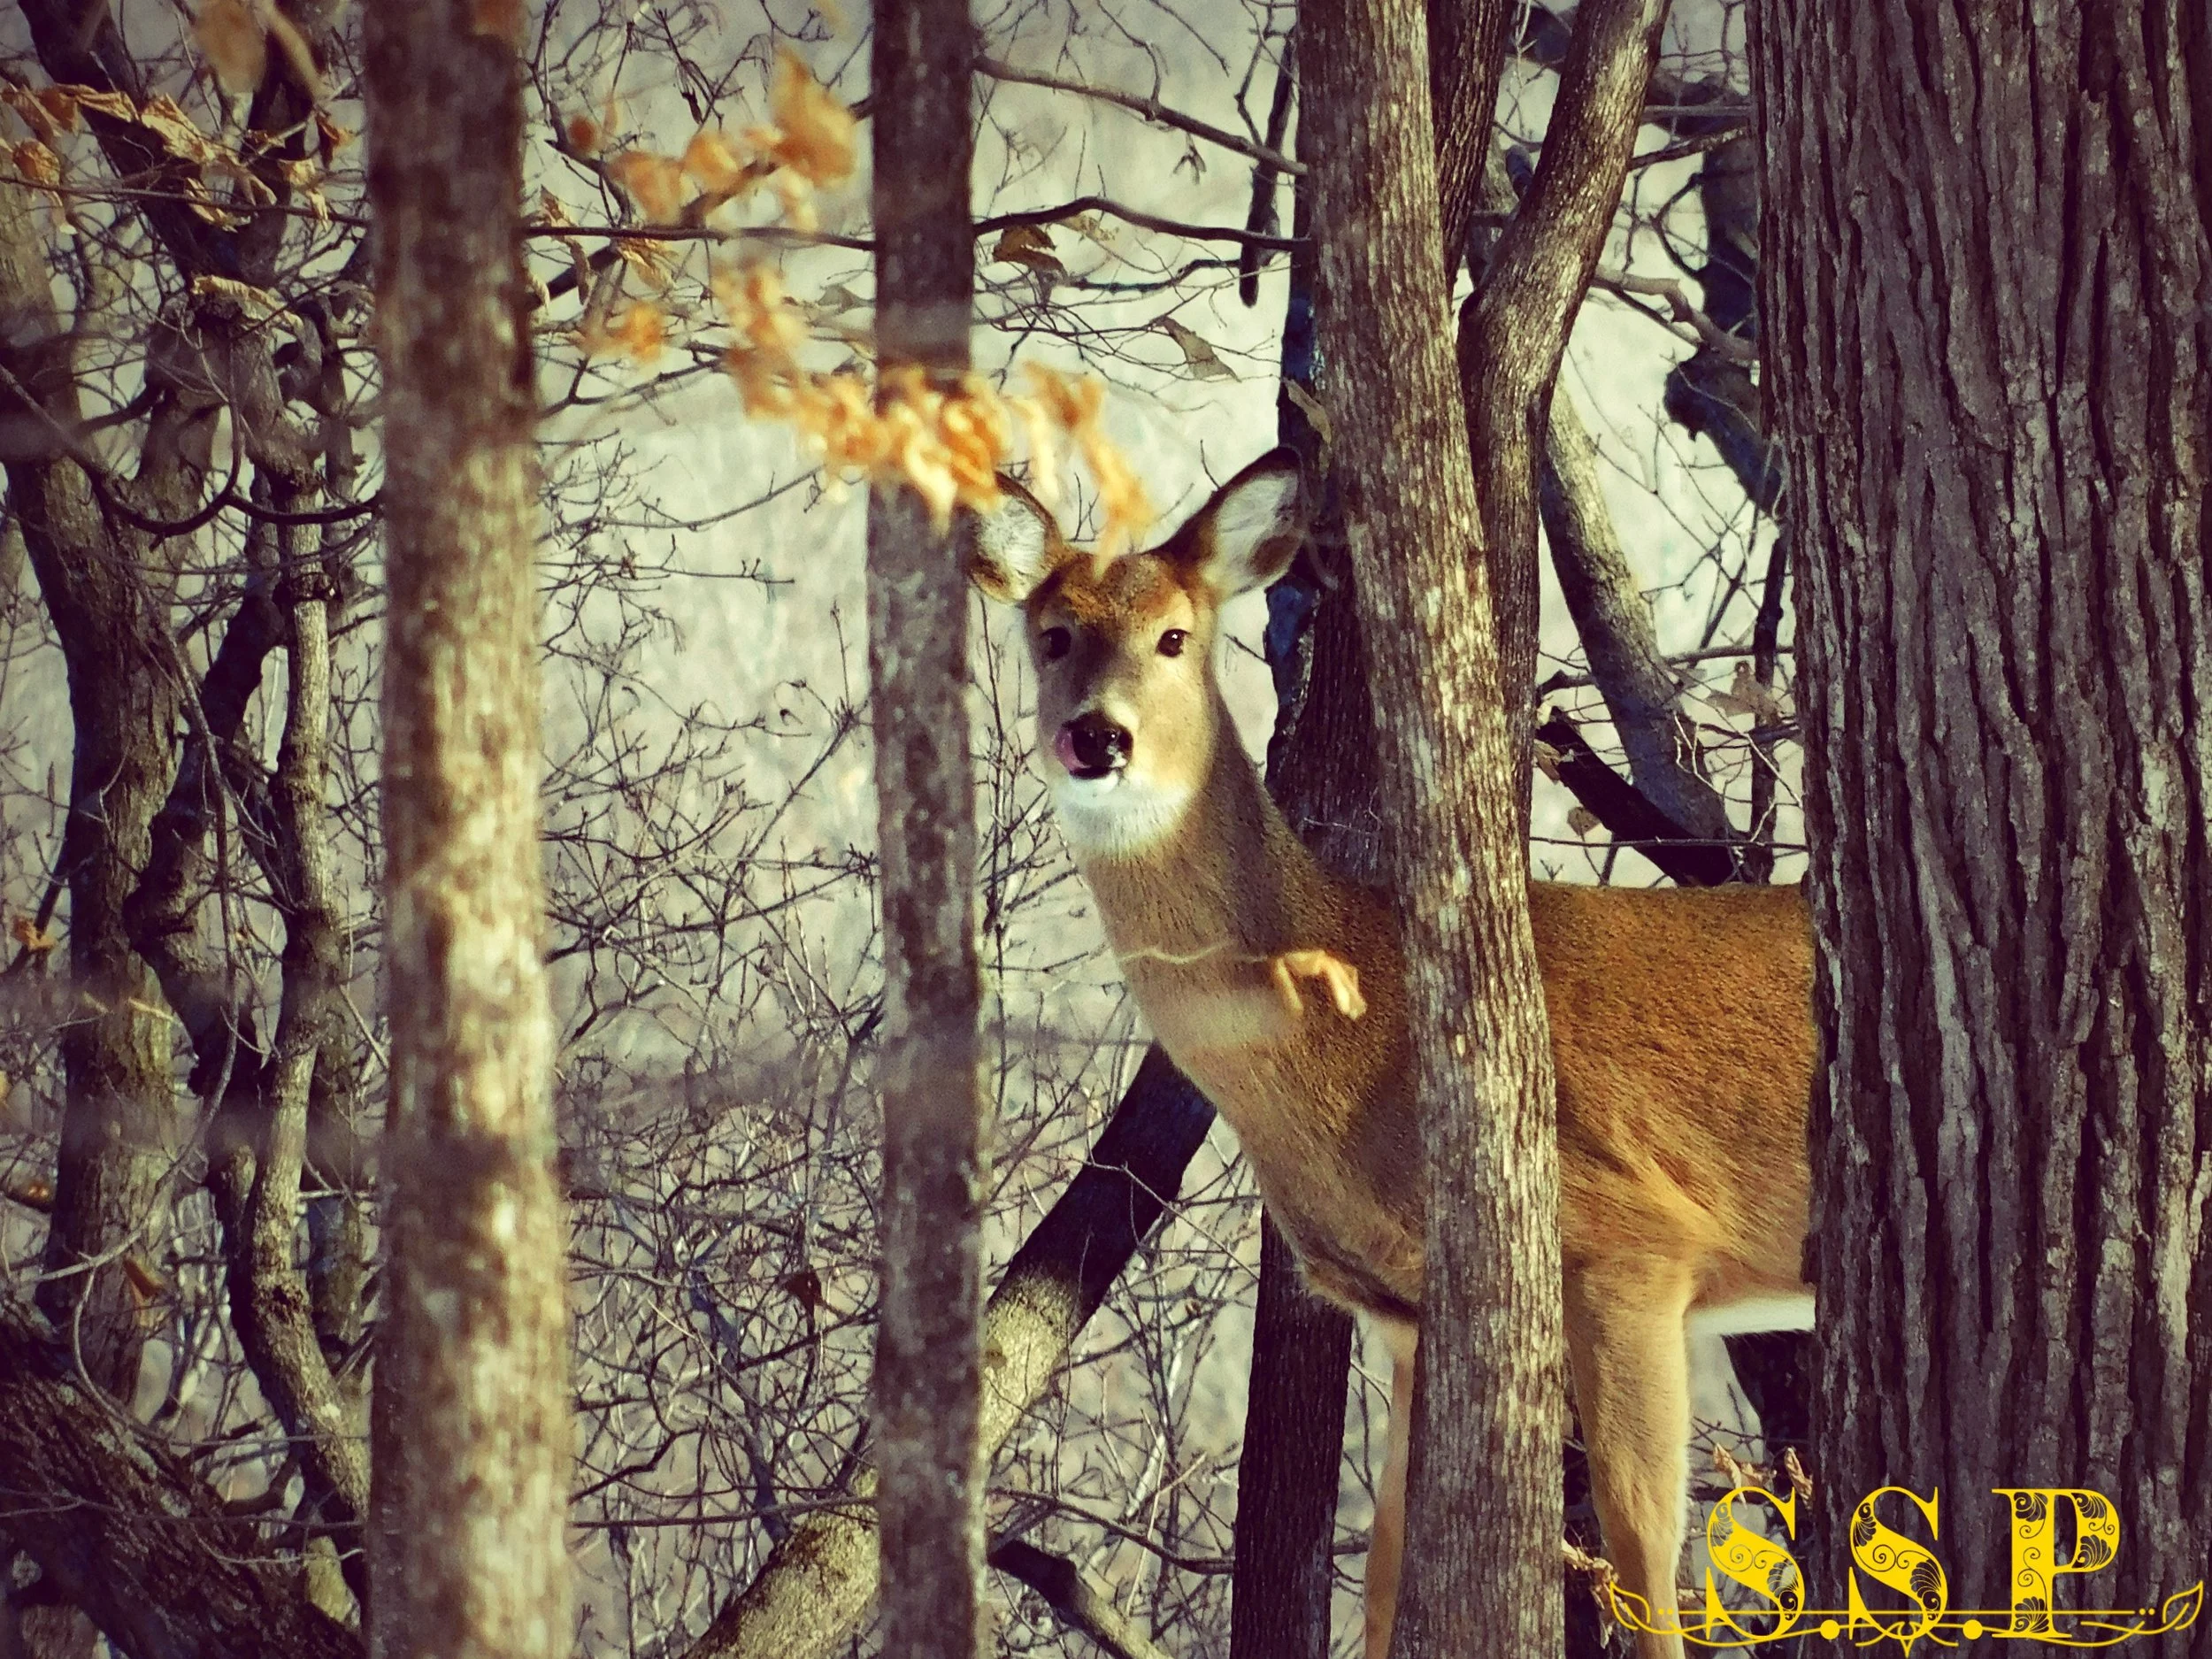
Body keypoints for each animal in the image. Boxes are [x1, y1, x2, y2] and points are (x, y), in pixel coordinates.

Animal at [963, 448, 1817, 1659]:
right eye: (1050, 633)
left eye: (1175, 637)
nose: (1098, 735)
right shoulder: (1406, 1312)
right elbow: (1384, 1572)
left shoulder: (1635, 1243)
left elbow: (1645, 1554)